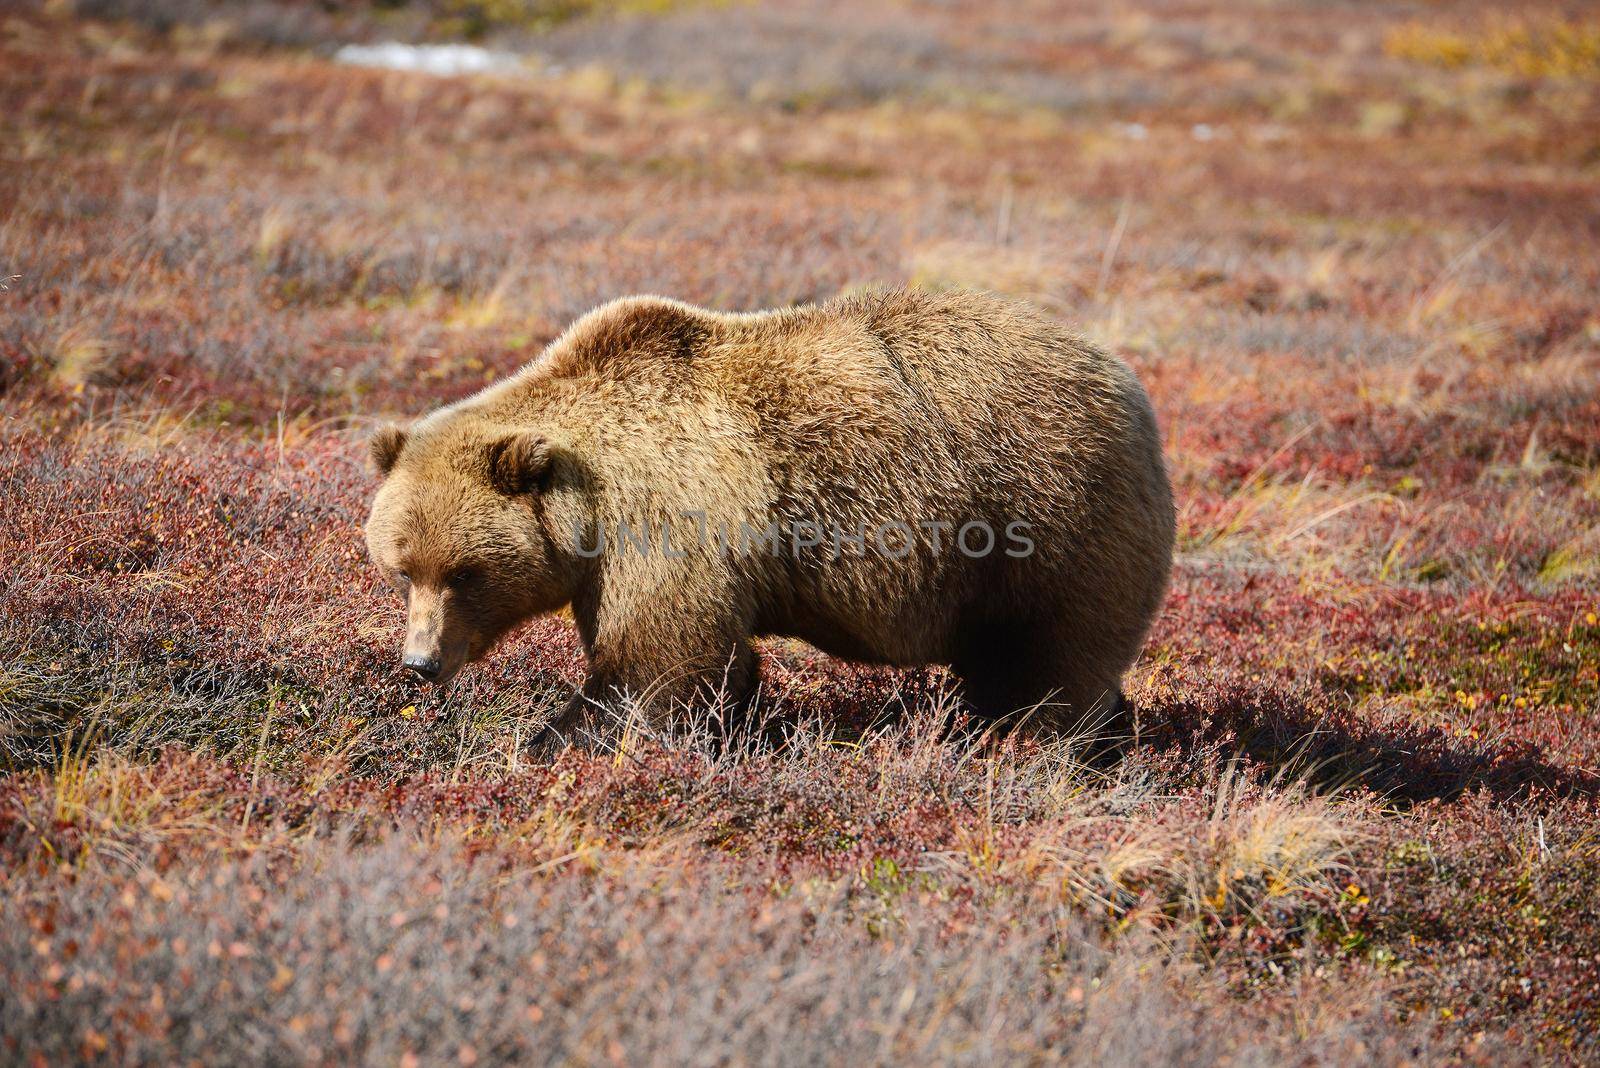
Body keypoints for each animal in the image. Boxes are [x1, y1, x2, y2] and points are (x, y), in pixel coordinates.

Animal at [368, 287, 1184, 748]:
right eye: (401, 569)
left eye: (465, 573)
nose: (420, 663)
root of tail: (1128, 382)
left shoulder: (663, 520)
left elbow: (658, 664)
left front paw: (552, 739)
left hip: (1047, 518)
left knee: (1047, 666)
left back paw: (1039, 746)